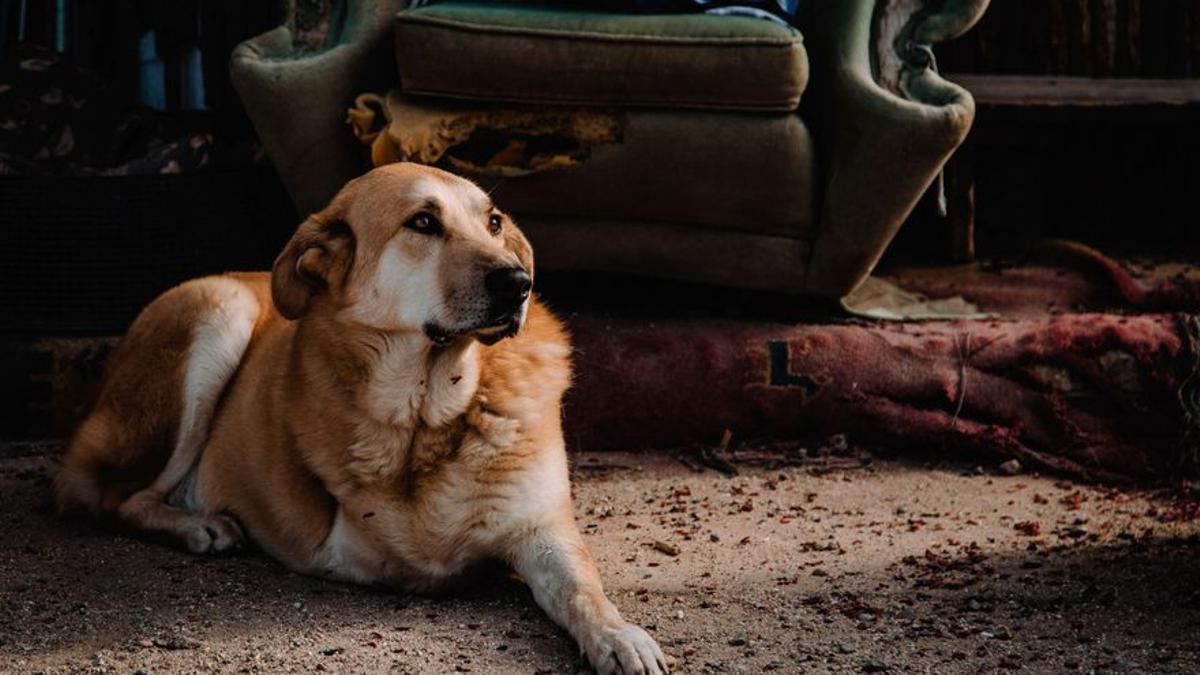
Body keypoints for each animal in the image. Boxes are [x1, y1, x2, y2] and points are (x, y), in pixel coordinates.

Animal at [56, 163, 672, 672]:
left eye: (494, 222)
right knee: (115, 499)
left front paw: (620, 636)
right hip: (216, 315)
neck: (433, 410)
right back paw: (198, 526)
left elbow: (583, 589)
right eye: (423, 222)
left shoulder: (542, 528)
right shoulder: (353, 546)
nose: (518, 282)